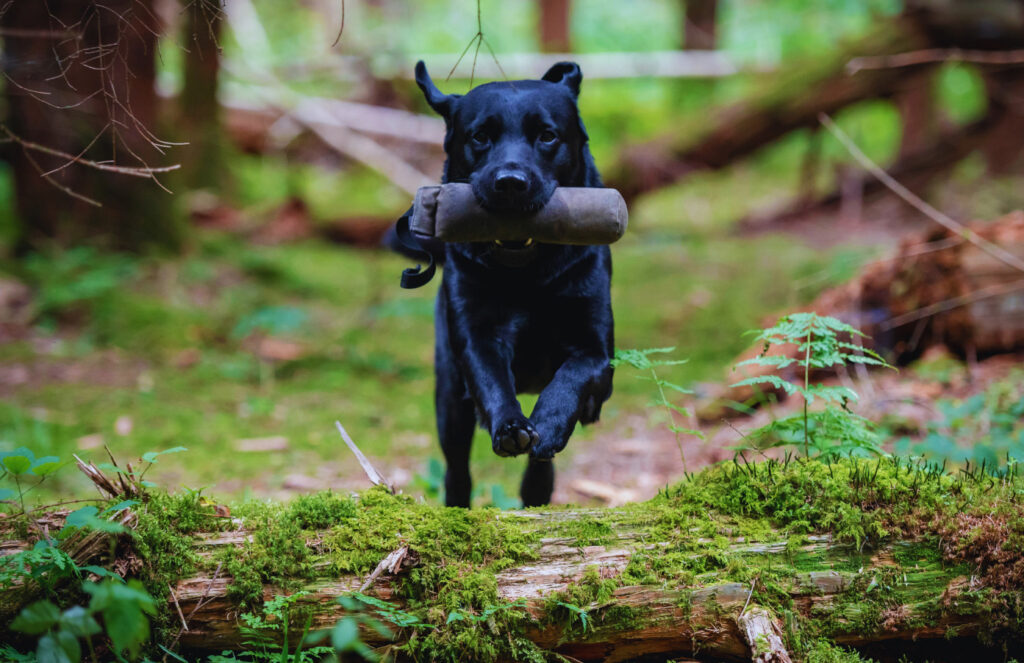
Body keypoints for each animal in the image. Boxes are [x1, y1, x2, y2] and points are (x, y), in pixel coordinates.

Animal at [395, 62, 610, 508]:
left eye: (547, 135)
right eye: (480, 136)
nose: (510, 181)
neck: (527, 273)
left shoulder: (597, 349)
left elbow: (574, 375)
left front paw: (547, 424)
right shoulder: (475, 337)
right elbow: (492, 380)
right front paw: (512, 428)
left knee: (541, 469)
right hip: (449, 401)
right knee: (457, 470)